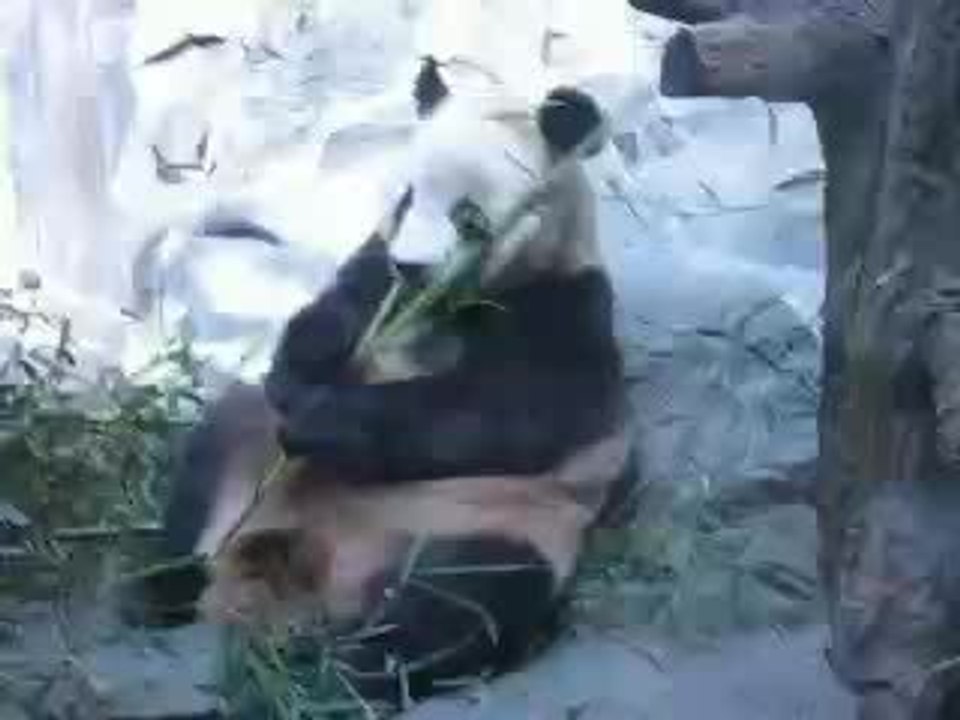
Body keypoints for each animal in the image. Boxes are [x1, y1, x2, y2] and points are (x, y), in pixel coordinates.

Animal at [126, 58, 640, 712]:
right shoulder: (377, 259)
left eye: (468, 215)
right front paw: (301, 374)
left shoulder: (563, 309)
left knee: (467, 598)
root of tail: (302, 569)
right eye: (408, 194)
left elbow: (506, 413)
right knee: (210, 460)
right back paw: (158, 588)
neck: (446, 302)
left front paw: (324, 417)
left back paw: (340, 670)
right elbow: (338, 305)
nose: (413, 265)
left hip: (494, 518)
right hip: (249, 462)